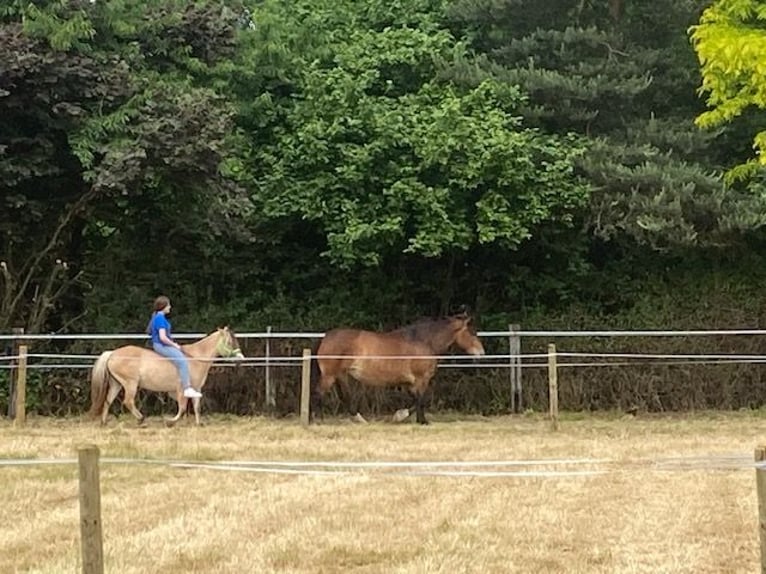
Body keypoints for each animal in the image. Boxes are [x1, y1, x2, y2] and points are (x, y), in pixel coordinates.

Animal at [310, 312, 486, 426]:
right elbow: (421, 399)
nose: (481, 353)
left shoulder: (410, 383)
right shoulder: (422, 379)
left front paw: (402, 417)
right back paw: (316, 421)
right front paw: (420, 421)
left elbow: (415, 400)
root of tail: (325, 337)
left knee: (344, 397)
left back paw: (358, 419)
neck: (424, 341)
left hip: (341, 375)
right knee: (319, 394)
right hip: (330, 375)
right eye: (472, 332)